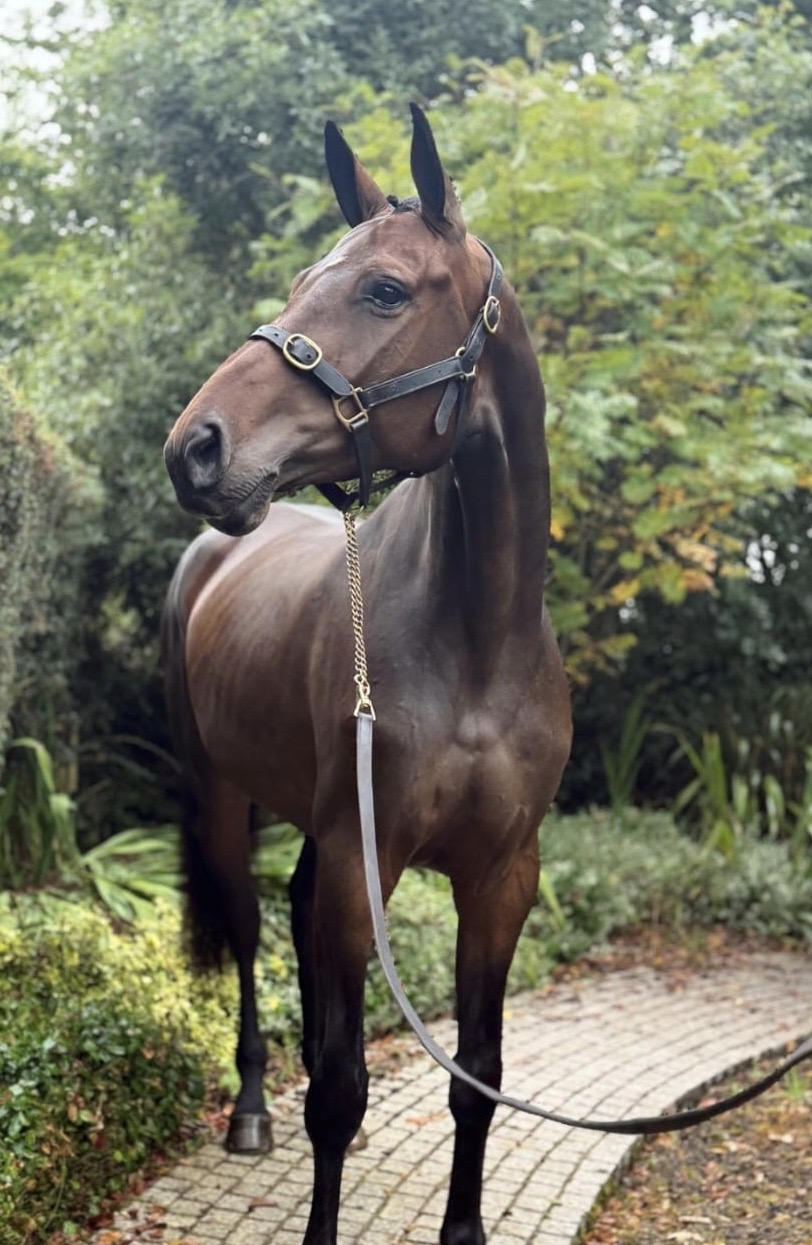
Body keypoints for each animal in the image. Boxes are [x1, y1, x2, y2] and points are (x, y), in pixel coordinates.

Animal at [162, 105, 572, 1245]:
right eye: (304, 278)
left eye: (384, 290)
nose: (195, 449)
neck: (474, 647)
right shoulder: (364, 864)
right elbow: (339, 1096)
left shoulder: (501, 878)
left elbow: (477, 1072)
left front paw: (464, 1229)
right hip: (226, 805)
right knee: (251, 935)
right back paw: (251, 1108)